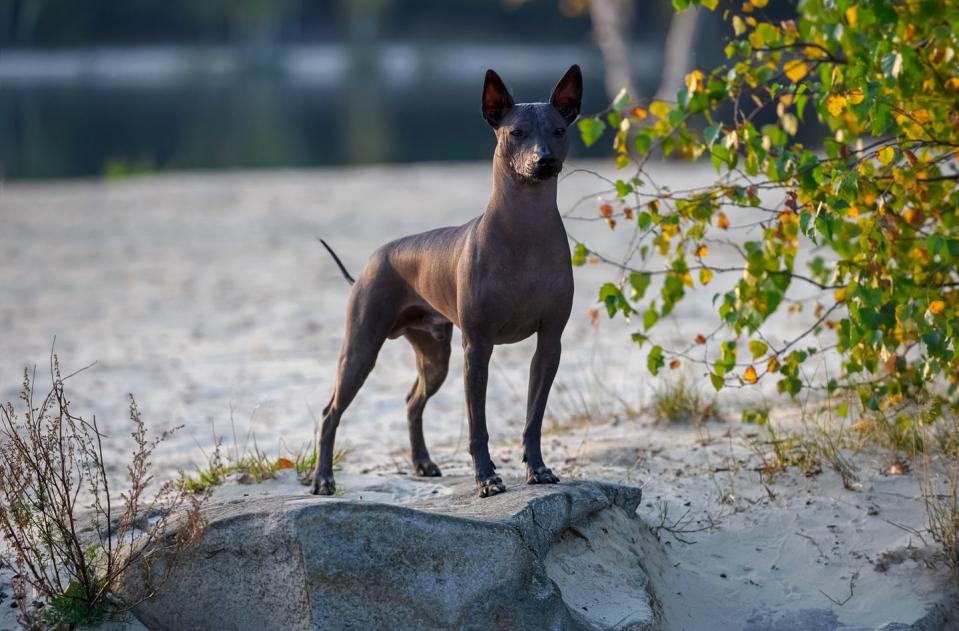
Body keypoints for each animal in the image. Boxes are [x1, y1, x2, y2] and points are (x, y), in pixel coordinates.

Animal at [318, 65, 580, 498]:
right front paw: (486, 478)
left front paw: (538, 469)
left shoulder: (550, 344)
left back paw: (422, 463)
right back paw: (323, 478)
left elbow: (533, 418)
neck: (526, 232)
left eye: (559, 130)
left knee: (412, 402)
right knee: (330, 412)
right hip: (360, 350)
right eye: (516, 133)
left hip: (434, 356)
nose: (543, 161)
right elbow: (478, 426)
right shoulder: (477, 348)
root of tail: (374, 259)